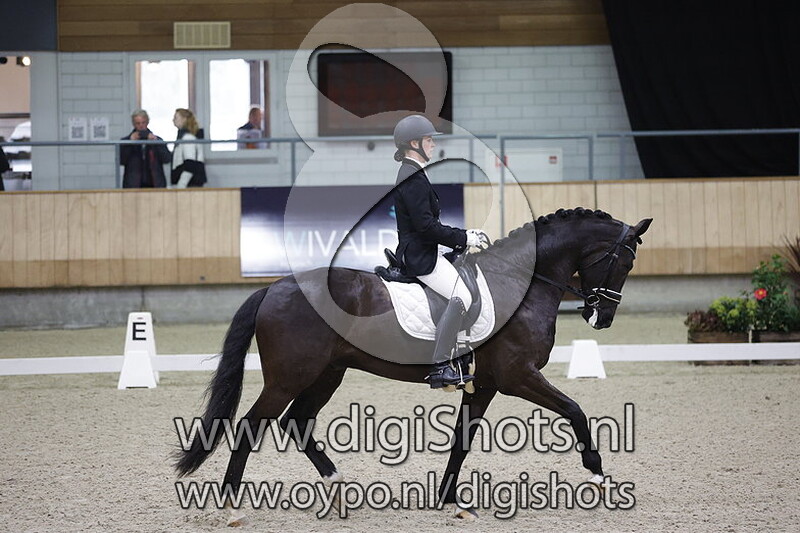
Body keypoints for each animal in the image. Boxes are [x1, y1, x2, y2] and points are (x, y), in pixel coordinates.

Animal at [173, 207, 652, 523]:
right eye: (626, 261)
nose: (602, 319)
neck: (521, 282)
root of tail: (274, 288)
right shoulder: (518, 376)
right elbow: (574, 409)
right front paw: (597, 473)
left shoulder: (486, 384)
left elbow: (462, 440)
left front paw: (449, 500)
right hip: (290, 377)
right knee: (251, 426)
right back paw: (232, 506)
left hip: (328, 373)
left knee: (298, 422)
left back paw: (338, 489)